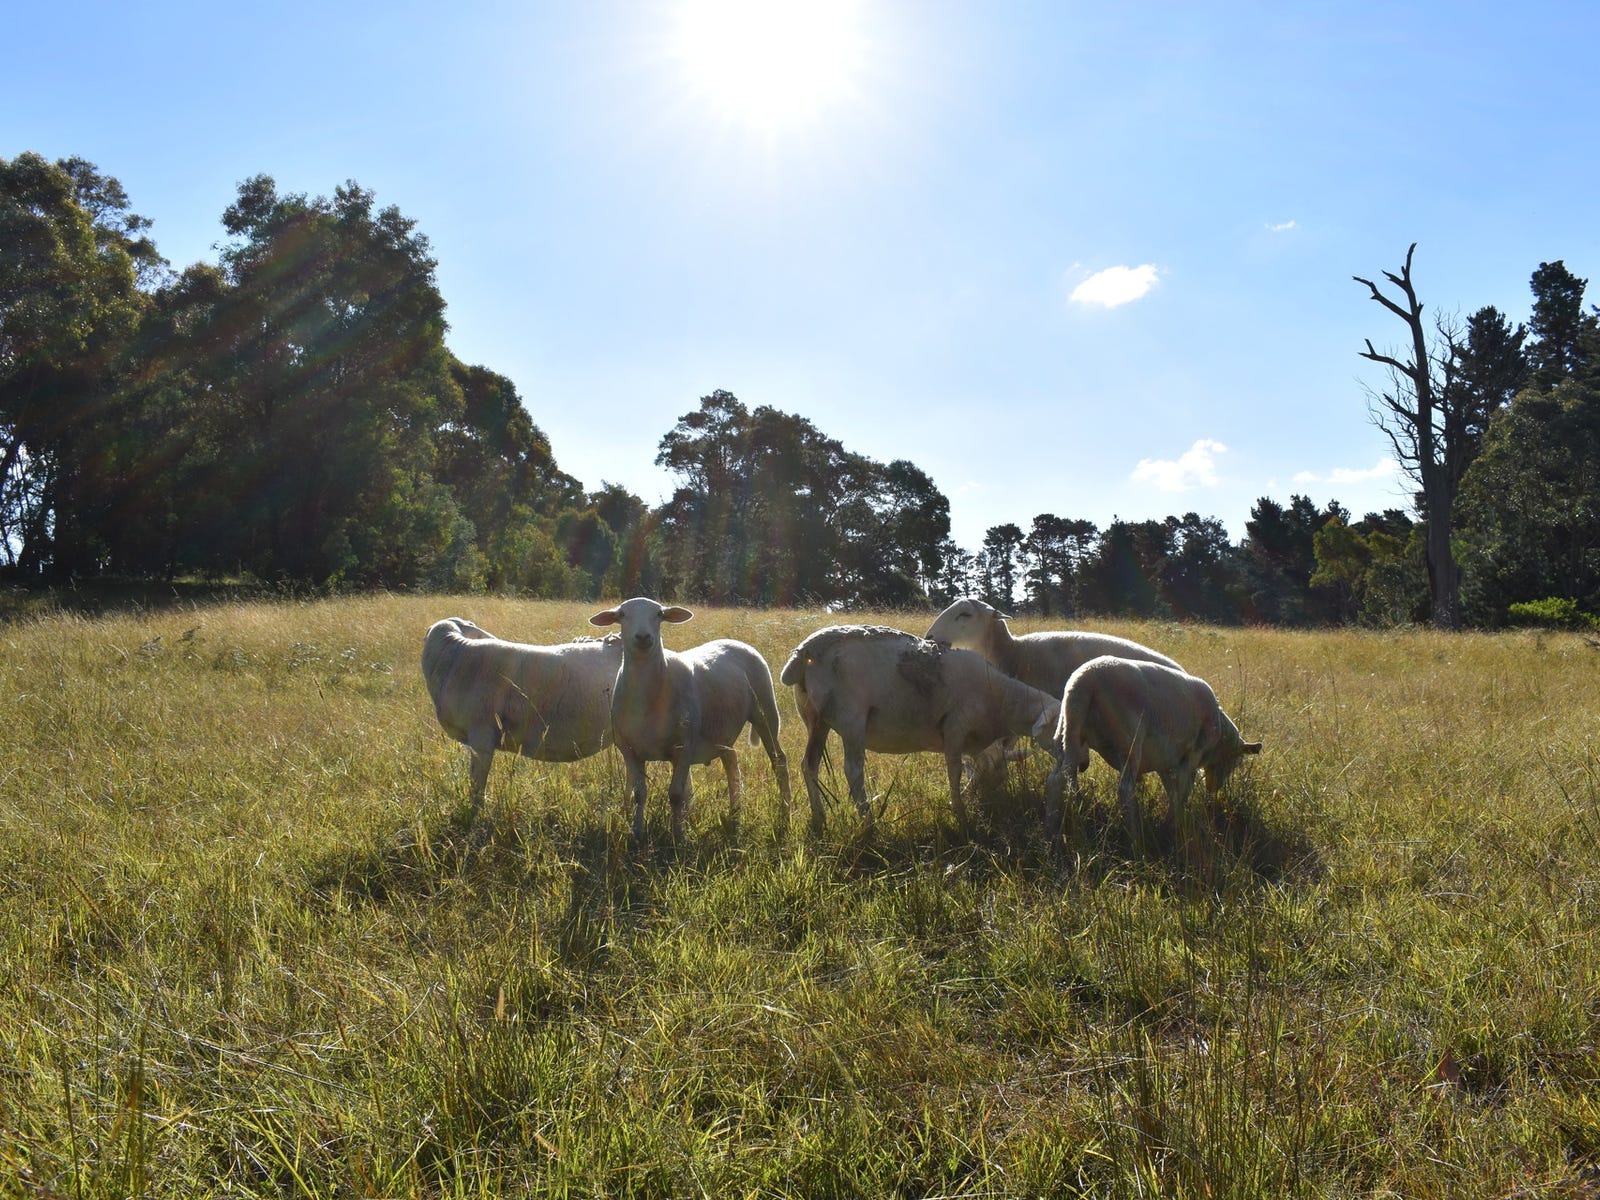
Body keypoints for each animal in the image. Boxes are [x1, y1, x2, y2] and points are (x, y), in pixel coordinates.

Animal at [588, 597, 790, 844]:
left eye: (659, 614)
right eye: (622, 615)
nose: (644, 637)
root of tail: (735, 641)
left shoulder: (684, 746)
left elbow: (676, 795)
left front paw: (678, 837)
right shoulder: (630, 750)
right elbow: (639, 795)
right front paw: (637, 833)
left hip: (766, 710)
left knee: (779, 762)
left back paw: (785, 812)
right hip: (721, 732)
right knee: (732, 764)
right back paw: (735, 813)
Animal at [779, 625, 1061, 835]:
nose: (993, 803)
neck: (1000, 700)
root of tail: (804, 653)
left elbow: (974, 767)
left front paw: (966, 799)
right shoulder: (955, 727)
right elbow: (955, 772)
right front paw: (960, 812)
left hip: (815, 719)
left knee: (809, 765)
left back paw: (819, 817)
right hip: (851, 718)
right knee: (853, 771)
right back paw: (869, 823)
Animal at [1043, 654, 1262, 845]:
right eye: (1235, 762)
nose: (1213, 789)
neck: (1220, 734)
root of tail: (1084, 683)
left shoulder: (1167, 761)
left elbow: (1173, 791)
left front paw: (1173, 821)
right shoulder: (1191, 756)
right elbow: (1183, 791)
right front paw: (1172, 825)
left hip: (1067, 733)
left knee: (1056, 779)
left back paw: (1051, 831)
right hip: (1129, 743)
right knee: (1125, 790)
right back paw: (1134, 838)